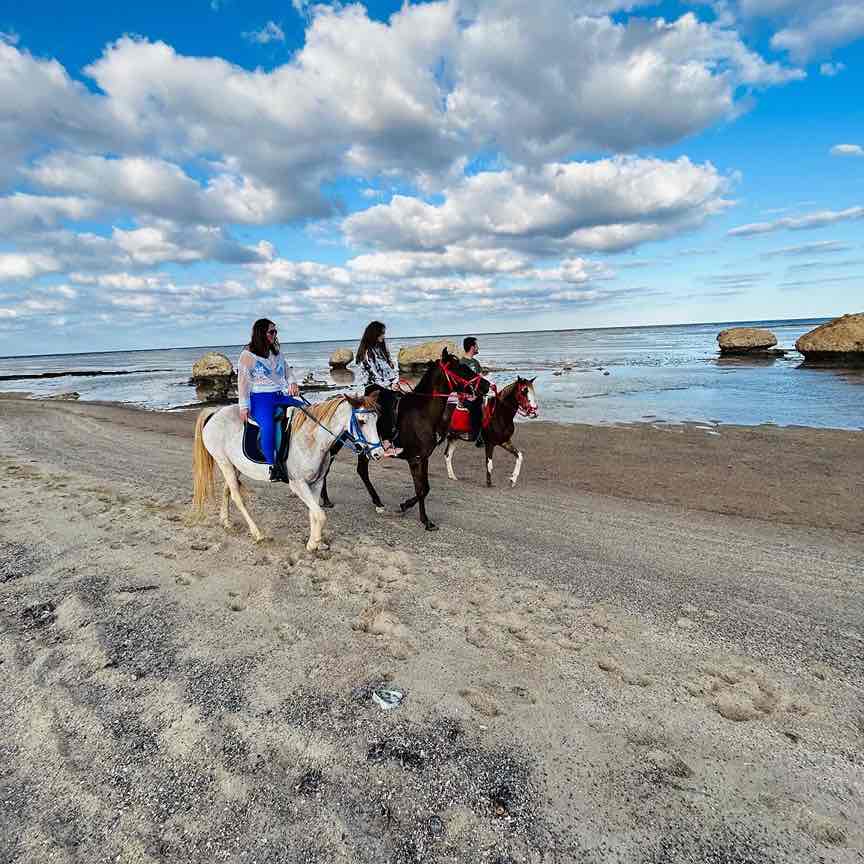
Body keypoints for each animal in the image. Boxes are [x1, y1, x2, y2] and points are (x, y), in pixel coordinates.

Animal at [192, 394, 382, 552]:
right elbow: (320, 515)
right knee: (237, 497)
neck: (312, 439)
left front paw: (315, 542)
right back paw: (257, 533)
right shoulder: (298, 484)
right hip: (224, 462)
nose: (378, 453)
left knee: (227, 491)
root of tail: (215, 412)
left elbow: (314, 513)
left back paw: (225, 521)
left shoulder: (316, 483)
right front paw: (313, 543)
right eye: (361, 421)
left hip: (234, 466)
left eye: (377, 420)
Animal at [320, 348, 490, 528]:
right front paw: (425, 521)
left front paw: (405, 505)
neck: (422, 414)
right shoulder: (414, 459)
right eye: (461, 368)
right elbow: (421, 489)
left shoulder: (423, 457)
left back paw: (376, 502)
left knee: (361, 471)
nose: (486, 386)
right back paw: (327, 499)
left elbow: (425, 488)